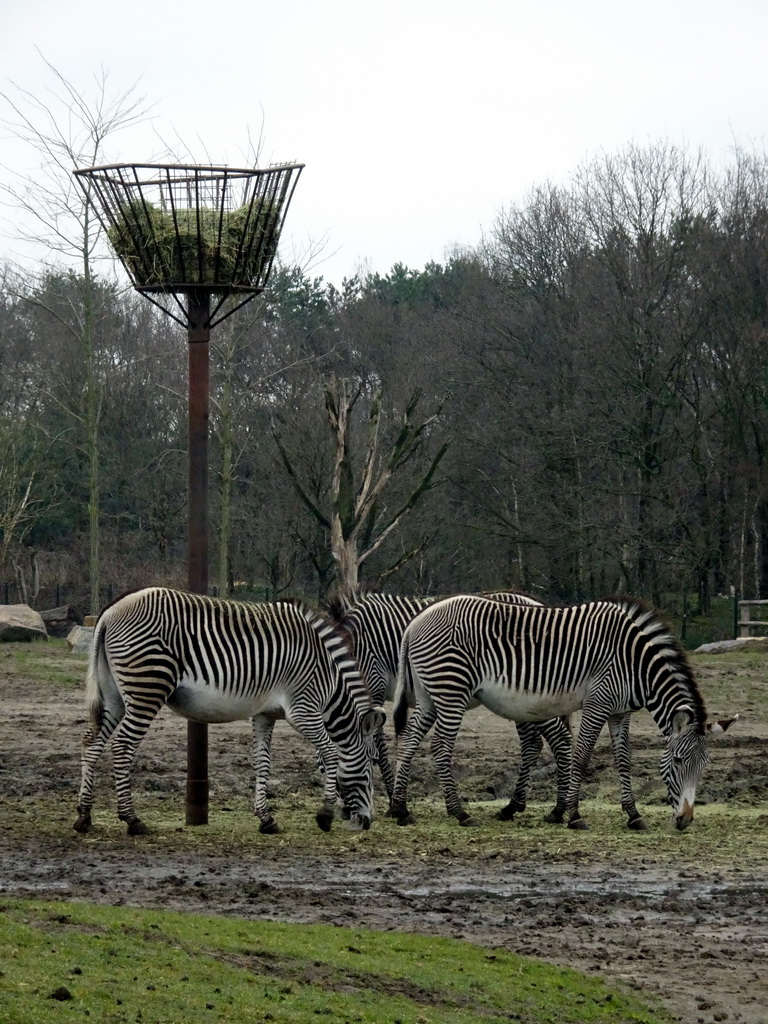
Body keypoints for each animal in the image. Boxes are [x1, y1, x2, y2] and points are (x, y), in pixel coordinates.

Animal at [71, 589, 385, 835]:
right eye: (371, 762)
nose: (367, 822)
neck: (328, 679)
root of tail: (110, 612)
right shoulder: (303, 710)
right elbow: (331, 753)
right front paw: (325, 815)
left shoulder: (265, 714)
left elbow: (262, 763)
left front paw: (266, 819)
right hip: (147, 688)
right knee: (123, 746)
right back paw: (132, 820)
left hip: (115, 695)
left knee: (91, 742)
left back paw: (84, 816)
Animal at [327, 585, 573, 823]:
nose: (345, 811)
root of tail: (537, 603)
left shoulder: (373, 686)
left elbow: (376, 745)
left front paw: (390, 800)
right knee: (536, 742)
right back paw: (524, 806)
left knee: (540, 741)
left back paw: (536, 808)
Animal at [393, 593, 737, 831]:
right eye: (678, 761)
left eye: (704, 766)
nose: (685, 821)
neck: (636, 663)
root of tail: (414, 623)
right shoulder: (598, 703)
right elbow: (582, 756)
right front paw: (573, 815)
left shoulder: (620, 713)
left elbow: (623, 761)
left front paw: (634, 816)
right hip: (451, 691)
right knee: (440, 747)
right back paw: (459, 812)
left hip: (429, 696)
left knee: (409, 741)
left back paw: (401, 809)